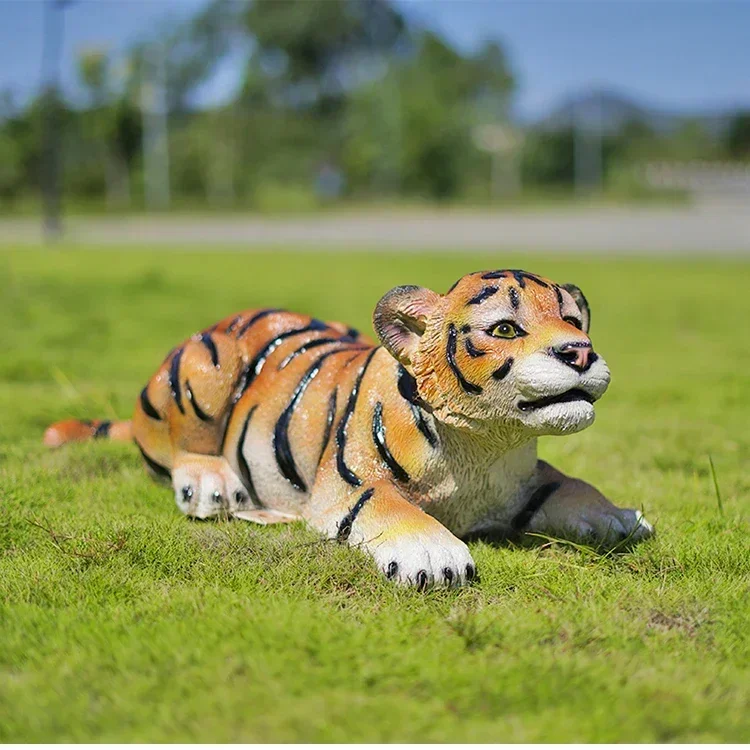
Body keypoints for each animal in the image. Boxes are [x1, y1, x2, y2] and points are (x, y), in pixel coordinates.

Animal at [44, 268, 653, 588]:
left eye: (573, 320)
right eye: (505, 328)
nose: (580, 352)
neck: (486, 443)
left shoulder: (522, 478)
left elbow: (568, 484)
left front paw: (617, 517)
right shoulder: (349, 483)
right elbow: (390, 507)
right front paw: (436, 555)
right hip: (205, 367)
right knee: (179, 448)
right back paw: (212, 485)